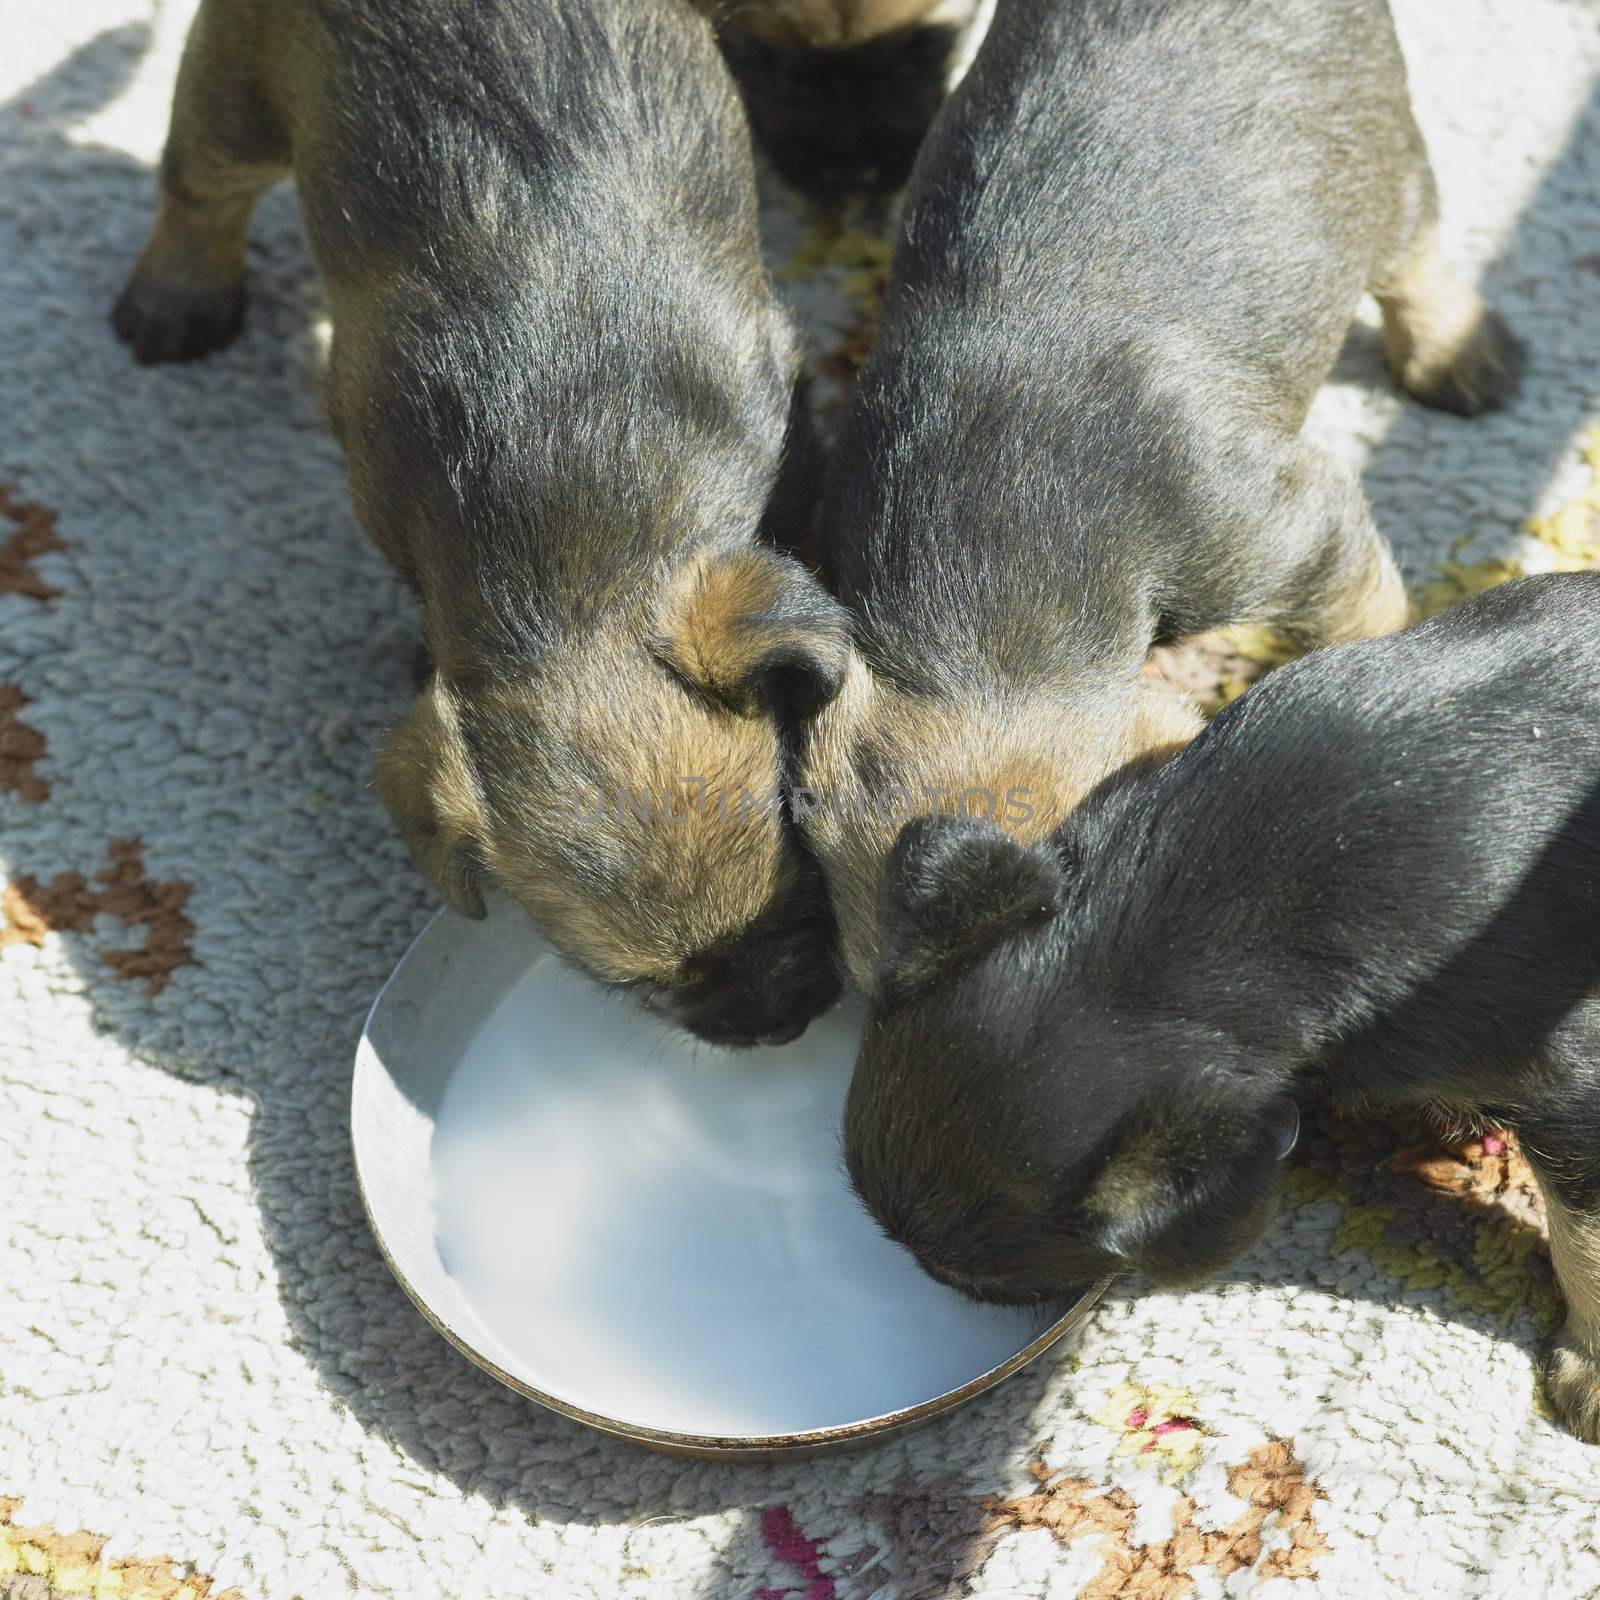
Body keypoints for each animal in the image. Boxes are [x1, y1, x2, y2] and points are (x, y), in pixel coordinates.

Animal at [116, 0, 851, 1049]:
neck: (576, 547)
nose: (778, 1023)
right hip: (240, 86)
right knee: (196, 183)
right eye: (636, 984)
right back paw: (176, 293)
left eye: (802, 892)